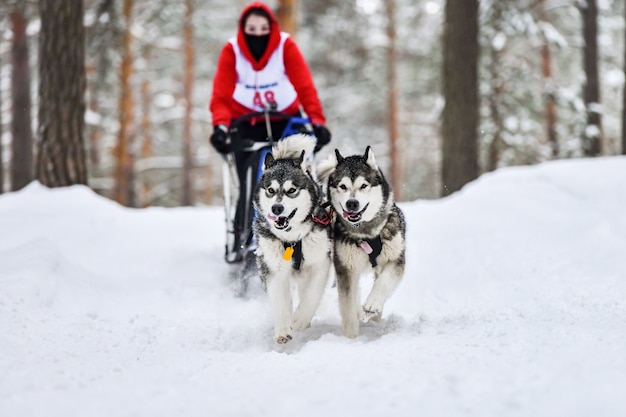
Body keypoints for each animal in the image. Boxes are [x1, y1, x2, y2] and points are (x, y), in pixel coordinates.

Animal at [252, 134, 334, 344]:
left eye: (291, 190)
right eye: (270, 191)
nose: (277, 208)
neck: (293, 239)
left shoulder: (319, 264)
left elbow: (312, 295)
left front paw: (300, 319)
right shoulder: (274, 269)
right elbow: (281, 302)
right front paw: (283, 330)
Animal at [316, 147, 404, 338]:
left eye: (364, 185)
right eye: (343, 186)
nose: (352, 203)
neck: (366, 231)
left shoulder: (396, 260)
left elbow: (383, 281)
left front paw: (372, 305)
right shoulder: (345, 269)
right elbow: (348, 306)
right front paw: (351, 338)